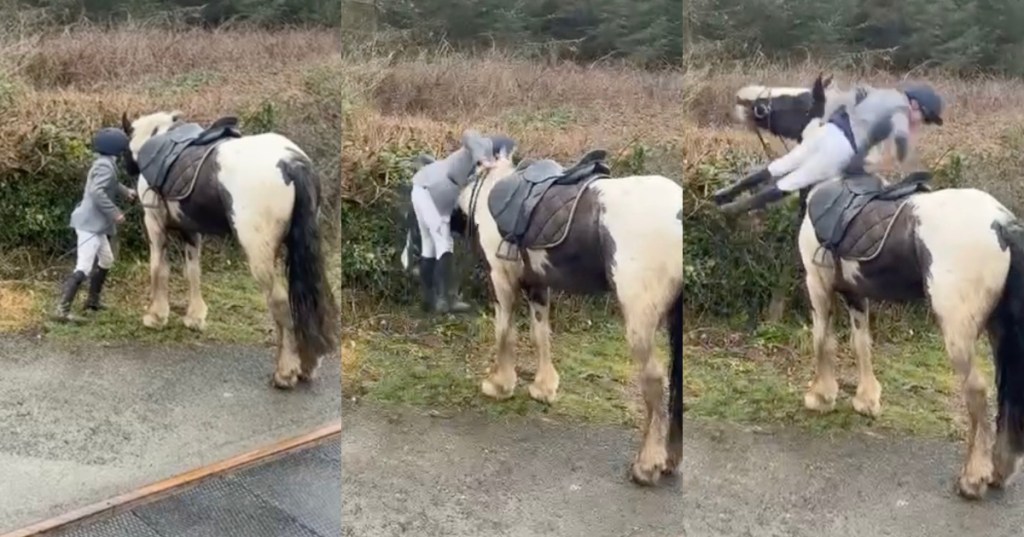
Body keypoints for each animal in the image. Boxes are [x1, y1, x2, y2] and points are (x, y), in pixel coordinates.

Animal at [120, 111, 338, 389]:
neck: (158, 138)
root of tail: (291, 164)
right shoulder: (192, 231)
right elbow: (193, 272)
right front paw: (195, 318)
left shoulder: (155, 224)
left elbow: (158, 269)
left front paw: (156, 316)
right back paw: (306, 365)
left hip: (259, 255)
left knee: (280, 303)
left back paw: (285, 372)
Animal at [453, 142, 683, 486]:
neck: (492, 189)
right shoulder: (537, 283)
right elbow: (540, 334)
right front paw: (543, 388)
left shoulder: (502, 279)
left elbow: (504, 332)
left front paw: (499, 385)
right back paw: (670, 460)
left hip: (639, 317)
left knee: (654, 380)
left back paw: (647, 465)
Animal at [793, 117, 1024, 500]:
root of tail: (1002, 225)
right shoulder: (855, 292)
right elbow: (861, 343)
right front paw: (866, 401)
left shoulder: (818, 284)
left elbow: (821, 339)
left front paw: (821, 396)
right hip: (999, 328)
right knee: (1007, 394)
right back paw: (999, 471)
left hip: (958, 330)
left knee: (977, 392)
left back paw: (972, 478)